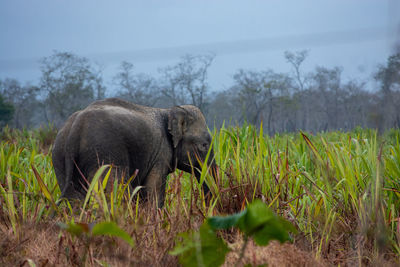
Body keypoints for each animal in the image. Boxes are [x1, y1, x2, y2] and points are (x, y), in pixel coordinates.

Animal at [51, 98, 217, 207]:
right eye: (204, 145)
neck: (168, 111)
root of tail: (75, 129)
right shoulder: (160, 154)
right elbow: (153, 190)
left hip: (59, 158)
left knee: (75, 198)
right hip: (105, 155)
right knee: (120, 191)